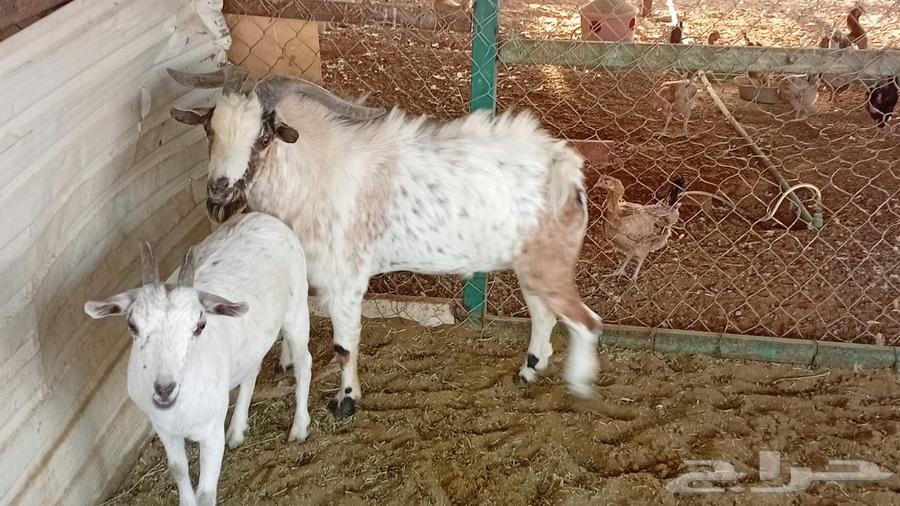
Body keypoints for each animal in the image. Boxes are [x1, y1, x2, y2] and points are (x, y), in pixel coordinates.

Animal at [84, 212, 311, 506]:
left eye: (199, 325)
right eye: (132, 325)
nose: (164, 389)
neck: (179, 410)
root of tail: (263, 216)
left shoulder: (211, 431)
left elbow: (206, 492)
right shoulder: (163, 428)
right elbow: (178, 469)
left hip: (296, 312)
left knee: (305, 363)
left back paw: (299, 426)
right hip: (252, 340)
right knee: (252, 370)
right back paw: (237, 430)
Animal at [168, 64, 603, 419]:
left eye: (262, 138)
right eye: (209, 129)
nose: (219, 193)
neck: (315, 173)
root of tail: (566, 170)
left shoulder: (344, 281)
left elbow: (344, 346)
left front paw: (346, 401)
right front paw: (288, 366)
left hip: (550, 264)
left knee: (587, 322)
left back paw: (578, 385)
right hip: (529, 266)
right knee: (544, 314)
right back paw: (528, 370)